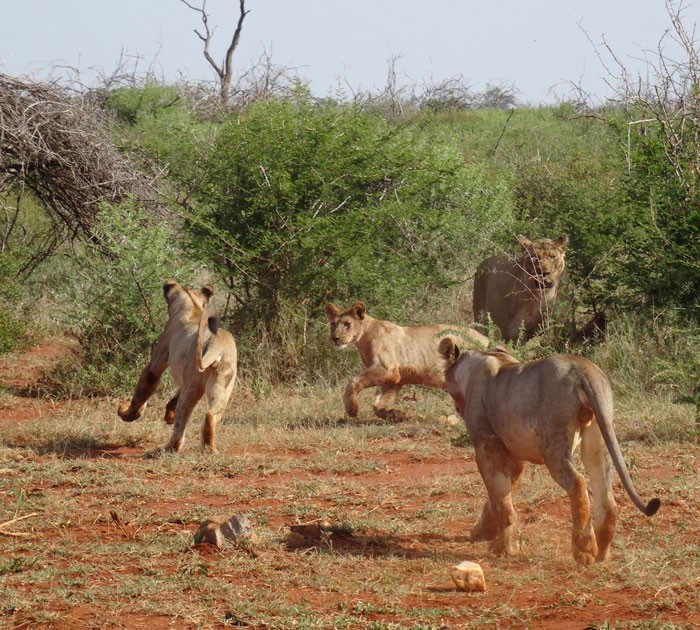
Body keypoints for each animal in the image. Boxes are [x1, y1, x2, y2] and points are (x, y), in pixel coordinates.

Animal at [117, 282, 238, 454]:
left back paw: (166, 448)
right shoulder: (184, 378)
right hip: (223, 384)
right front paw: (169, 414)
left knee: (180, 426)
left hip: (193, 386)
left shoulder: (157, 360)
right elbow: (174, 396)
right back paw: (209, 448)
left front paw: (125, 412)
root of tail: (217, 344)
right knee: (210, 414)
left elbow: (142, 391)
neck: (192, 306)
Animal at [326, 302, 486, 424]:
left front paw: (352, 409)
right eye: (332, 324)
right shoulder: (396, 378)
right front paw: (398, 416)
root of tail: (486, 339)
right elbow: (378, 404)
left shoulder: (387, 369)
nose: (335, 338)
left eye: (347, 324)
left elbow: (353, 382)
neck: (364, 337)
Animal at [440, 340, 660, 568]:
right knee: (606, 495)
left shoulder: (487, 446)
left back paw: (583, 549)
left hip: (553, 444)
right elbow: (502, 496)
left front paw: (504, 549)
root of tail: (582, 368)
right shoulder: (515, 452)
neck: (484, 359)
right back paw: (602, 551)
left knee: (578, 482)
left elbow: (501, 500)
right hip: (598, 437)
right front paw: (483, 532)